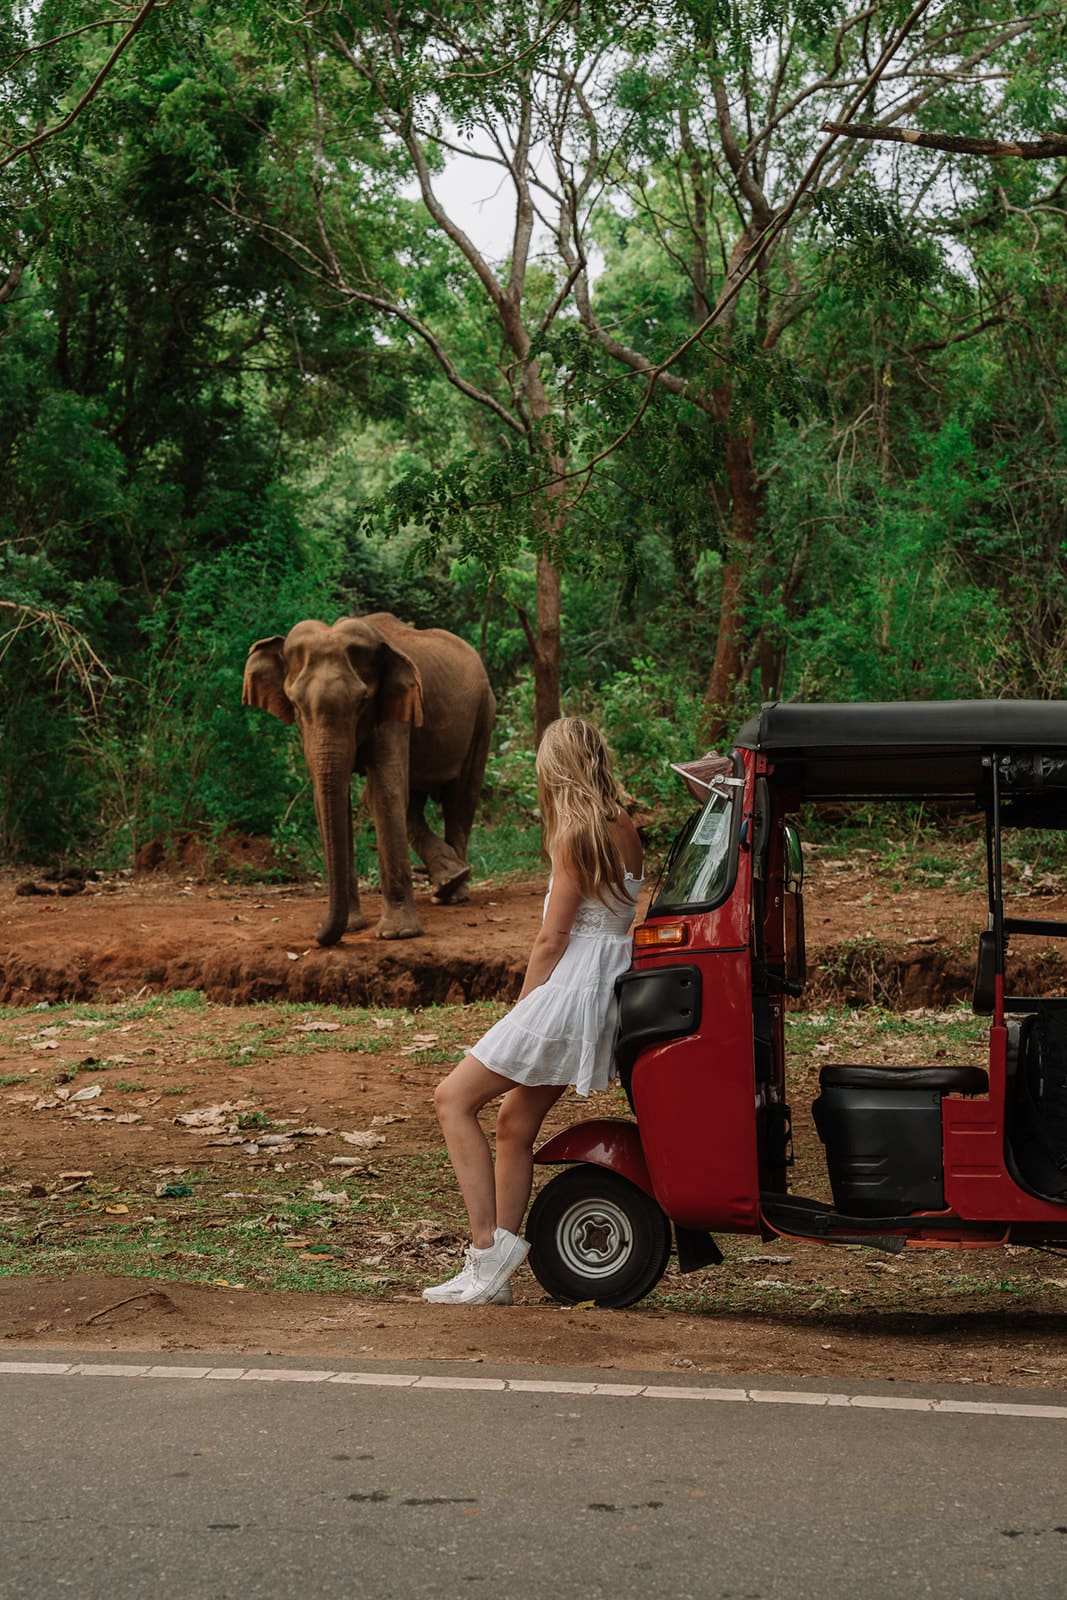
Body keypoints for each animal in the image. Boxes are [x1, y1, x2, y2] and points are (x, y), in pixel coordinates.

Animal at [241, 608, 495, 934]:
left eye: (362, 701)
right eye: (295, 704)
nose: (319, 933)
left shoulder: (394, 709)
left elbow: (385, 790)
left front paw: (398, 934)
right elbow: (333, 797)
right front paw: (352, 927)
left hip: (483, 716)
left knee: (460, 799)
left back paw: (455, 892)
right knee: (414, 802)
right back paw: (450, 880)